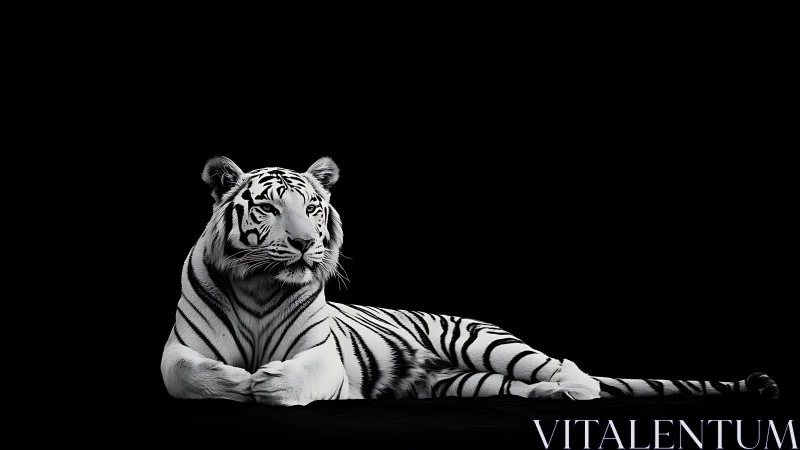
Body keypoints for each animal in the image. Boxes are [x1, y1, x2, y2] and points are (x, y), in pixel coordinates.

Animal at [160, 156, 780, 406]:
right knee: (524, 387)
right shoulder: (177, 351)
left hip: (490, 345)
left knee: (576, 373)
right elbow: (190, 376)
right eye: (268, 208)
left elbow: (300, 375)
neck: (259, 286)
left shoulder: (322, 354)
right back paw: (546, 396)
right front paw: (235, 382)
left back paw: (570, 388)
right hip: (464, 383)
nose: (304, 243)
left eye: (312, 208)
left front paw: (267, 384)